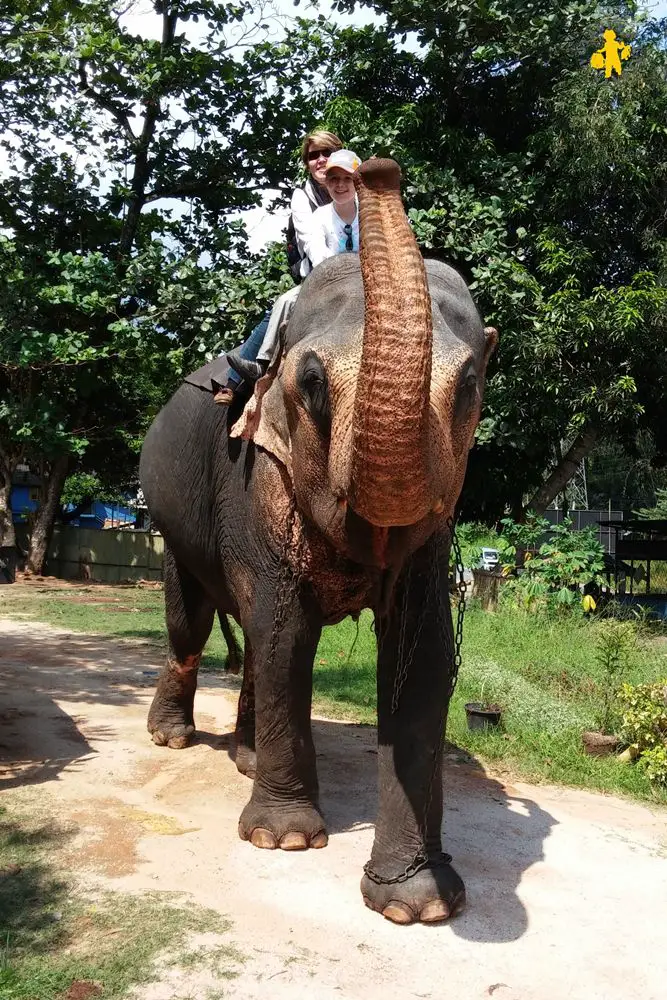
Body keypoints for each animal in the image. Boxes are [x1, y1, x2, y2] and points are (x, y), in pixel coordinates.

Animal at [140, 156, 496, 920]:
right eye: (310, 383)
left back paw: (245, 756)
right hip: (171, 522)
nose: (374, 169)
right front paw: (285, 841)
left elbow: (422, 656)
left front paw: (418, 902)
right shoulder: (255, 473)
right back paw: (173, 737)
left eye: (469, 385)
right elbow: (285, 631)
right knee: (192, 624)